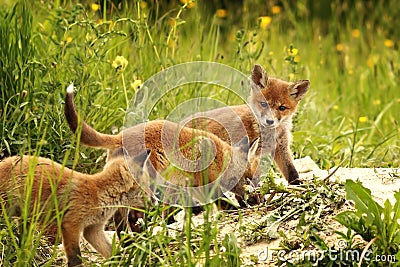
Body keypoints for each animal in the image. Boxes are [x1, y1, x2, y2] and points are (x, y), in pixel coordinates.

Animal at [0, 152, 152, 266]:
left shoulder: (93, 230)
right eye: (147, 186)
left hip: (26, 220)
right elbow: (75, 259)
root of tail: (5, 160)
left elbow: (113, 254)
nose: (155, 201)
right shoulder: (71, 225)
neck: (99, 194)